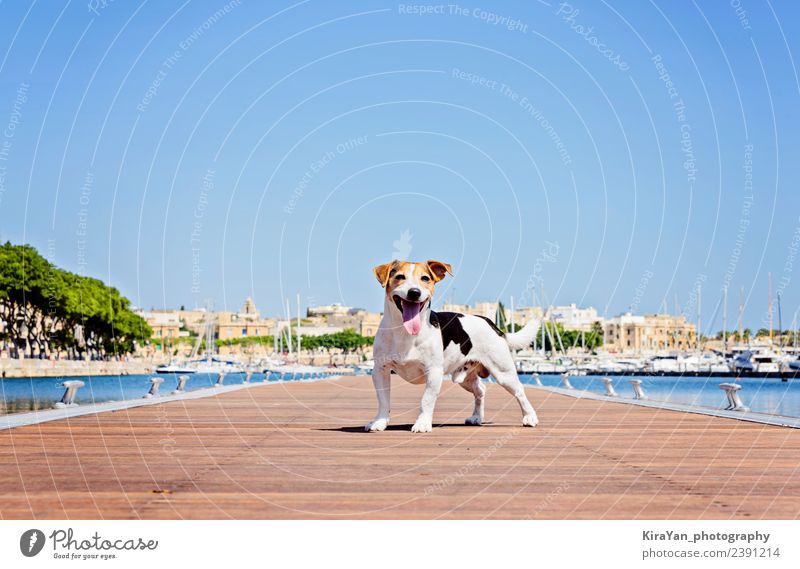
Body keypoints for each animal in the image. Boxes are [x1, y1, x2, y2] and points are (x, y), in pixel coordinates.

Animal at [366, 260, 540, 432]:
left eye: (425, 278)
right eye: (400, 277)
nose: (414, 292)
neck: (404, 332)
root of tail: (490, 323)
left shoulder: (433, 372)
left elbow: (426, 400)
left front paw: (422, 424)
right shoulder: (380, 371)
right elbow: (383, 400)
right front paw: (380, 422)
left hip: (504, 373)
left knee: (519, 391)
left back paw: (529, 417)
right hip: (464, 377)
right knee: (480, 390)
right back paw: (477, 417)